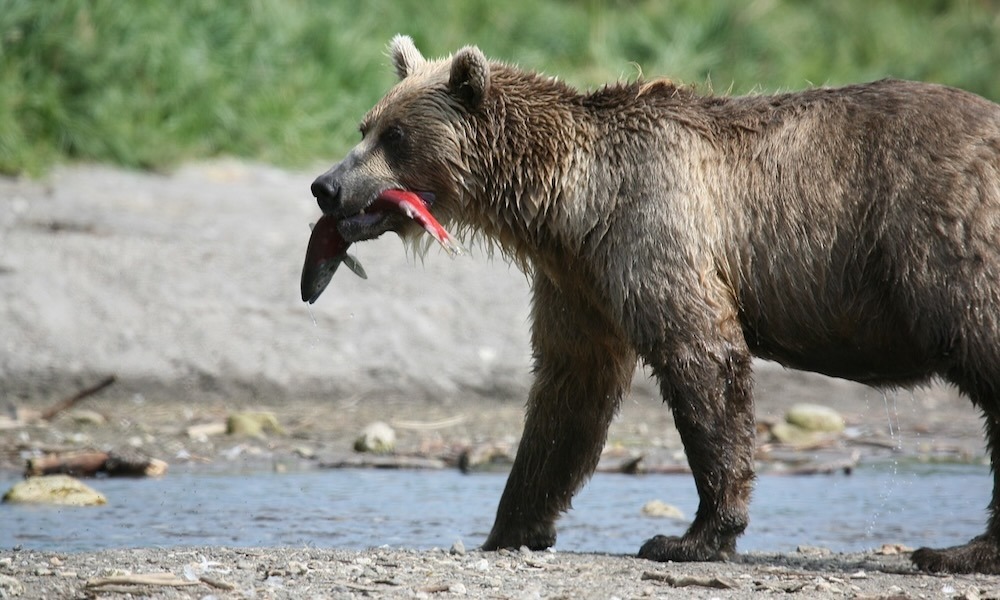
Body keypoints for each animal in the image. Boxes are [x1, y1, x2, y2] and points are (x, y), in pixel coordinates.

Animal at [304, 35, 1000, 576]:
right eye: (365, 125)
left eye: (395, 134)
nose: (325, 185)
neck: (569, 204)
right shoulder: (579, 281)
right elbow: (569, 393)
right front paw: (510, 527)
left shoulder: (655, 226)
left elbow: (702, 360)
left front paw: (689, 537)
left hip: (941, 239)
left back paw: (958, 551)